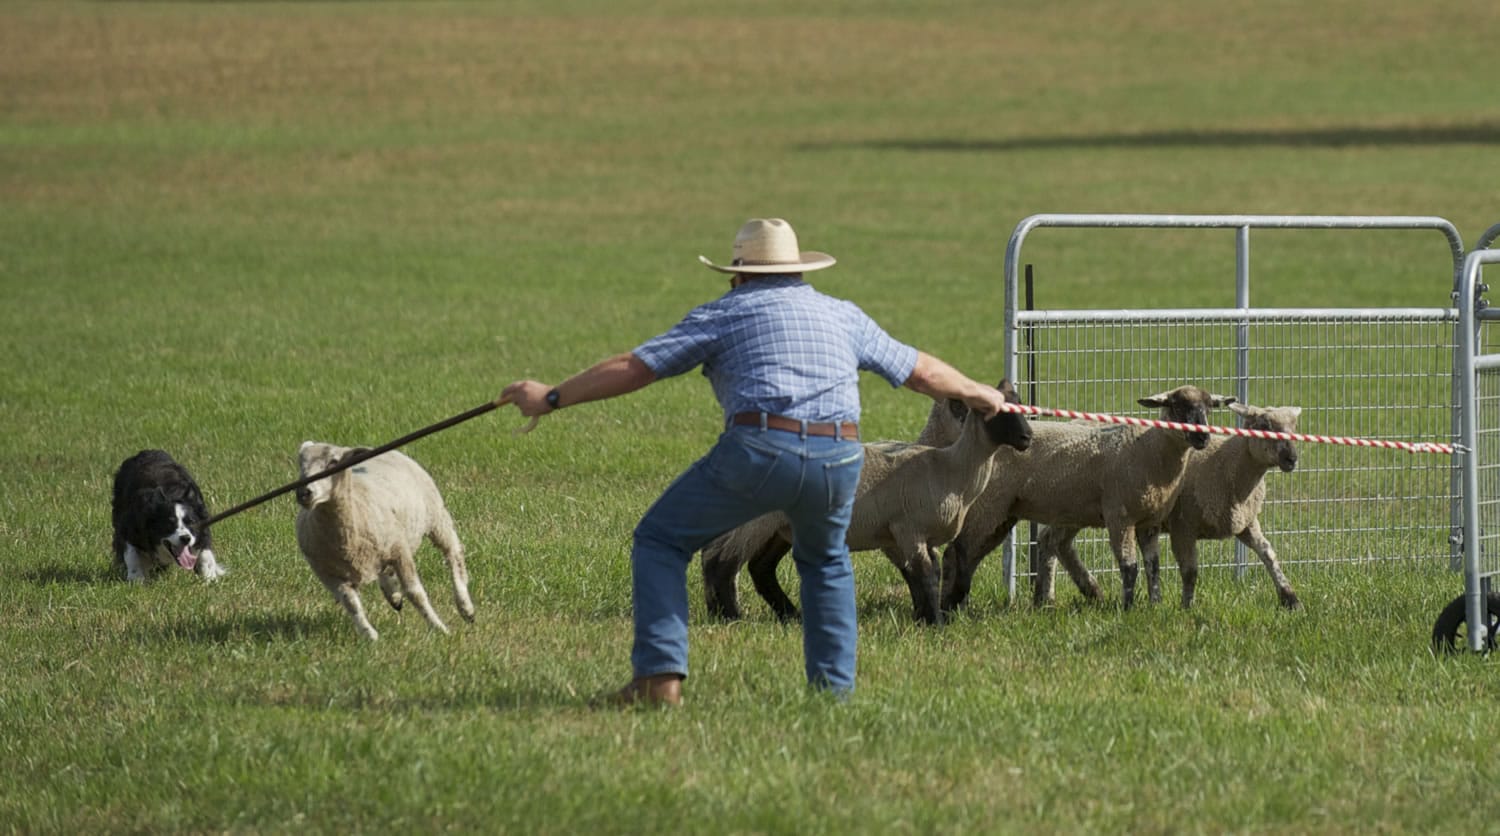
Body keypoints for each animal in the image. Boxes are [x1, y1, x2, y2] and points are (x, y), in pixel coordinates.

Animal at [109, 450, 225, 579]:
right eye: (169, 524)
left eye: (191, 523)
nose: (186, 538)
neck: (171, 495)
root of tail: (145, 452)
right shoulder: (129, 526)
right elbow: (131, 553)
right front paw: (137, 578)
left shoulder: (202, 519)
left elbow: (205, 550)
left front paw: (209, 576)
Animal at [294, 438, 474, 639]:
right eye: (301, 464)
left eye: (333, 462)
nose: (304, 492)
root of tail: (373, 448)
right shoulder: (327, 573)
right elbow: (351, 603)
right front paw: (370, 636)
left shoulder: (401, 552)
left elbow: (415, 593)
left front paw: (439, 628)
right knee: (385, 571)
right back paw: (393, 594)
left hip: (435, 516)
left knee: (453, 553)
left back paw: (465, 606)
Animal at [699, 381, 1032, 621]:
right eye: (995, 411)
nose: (1028, 438)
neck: (950, 468)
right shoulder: (907, 528)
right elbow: (924, 574)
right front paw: (935, 622)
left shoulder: (913, 536)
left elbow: (925, 573)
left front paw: (923, 618)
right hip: (754, 522)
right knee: (723, 563)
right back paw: (732, 617)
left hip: (778, 527)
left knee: (760, 567)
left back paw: (789, 616)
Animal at [942, 381, 1236, 609]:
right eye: (1177, 406)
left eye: (1209, 408)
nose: (1203, 438)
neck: (1149, 450)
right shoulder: (1120, 515)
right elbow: (1129, 567)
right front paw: (1128, 608)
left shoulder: (1149, 523)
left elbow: (1153, 566)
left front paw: (1155, 605)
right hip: (987, 506)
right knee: (956, 553)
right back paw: (951, 605)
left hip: (1017, 512)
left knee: (980, 555)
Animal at [1032, 402, 1302, 606]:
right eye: (1265, 426)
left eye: (1293, 427)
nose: (1292, 458)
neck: (1228, 465)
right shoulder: (1184, 525)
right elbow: (1190, 571)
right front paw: (1186, 606)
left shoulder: (1245, 522)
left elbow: (1268, 554)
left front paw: (1290, 598)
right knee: (1052, 540)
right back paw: (1053, 597)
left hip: (1075, 510)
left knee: (1055, 542)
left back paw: (1071, 594)